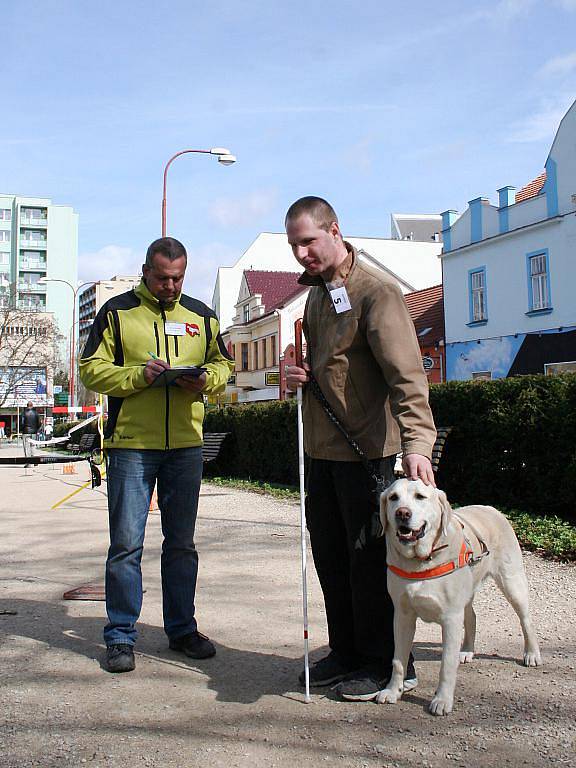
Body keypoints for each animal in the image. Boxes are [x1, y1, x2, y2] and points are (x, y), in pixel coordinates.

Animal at [376, 476, 544, 716]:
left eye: (420, 497)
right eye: (393, 498)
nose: (402, 513)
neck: (422, 561)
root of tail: (490, 508)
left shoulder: (450, 619)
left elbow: (447, 665)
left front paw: (442, 700)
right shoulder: (402, 615)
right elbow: (398, 660)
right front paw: (393, 690)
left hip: (513, 583)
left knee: (526, 619)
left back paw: (531, 654)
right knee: (472, 616)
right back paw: (466, 651)